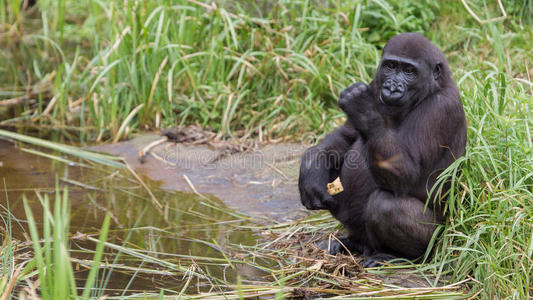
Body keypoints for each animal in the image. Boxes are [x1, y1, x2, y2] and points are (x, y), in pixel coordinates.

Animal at [300, 32, 466, 268]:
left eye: (409, 71)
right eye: (390, 66)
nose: (392, 87)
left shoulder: (440, 108)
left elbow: (406, 174)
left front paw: (362, 107)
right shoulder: (374, 83)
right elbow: (347, 135)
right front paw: (311, 169)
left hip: (438, 238)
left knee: (385, 206)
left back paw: (399, 256)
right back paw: (350, 242)